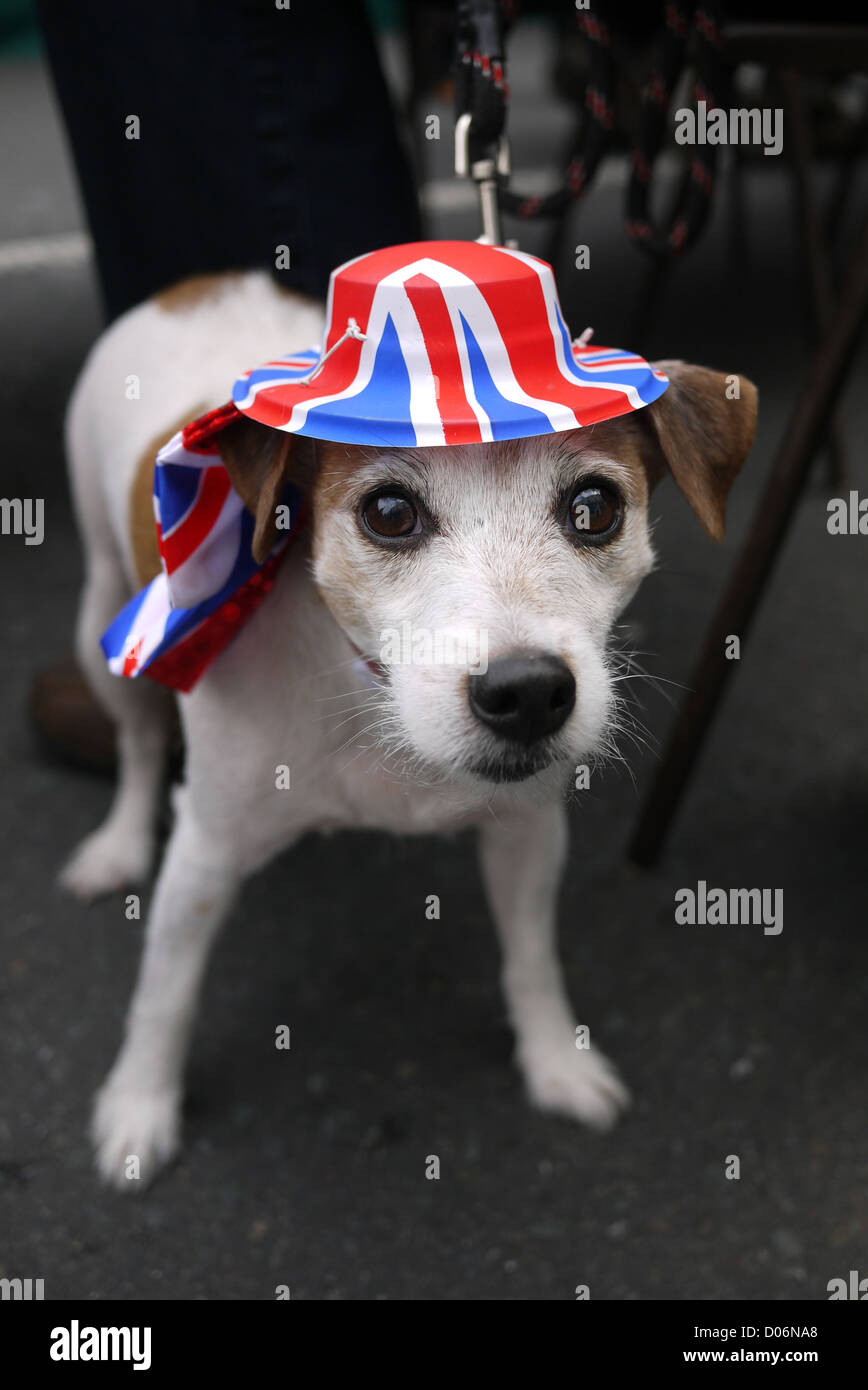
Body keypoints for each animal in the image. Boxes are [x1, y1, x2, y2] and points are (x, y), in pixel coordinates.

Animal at [61, 250, 756, 1184]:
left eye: (595, 506)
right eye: (389, 512)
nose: (528, 693)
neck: (375, 695)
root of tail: (197, 284)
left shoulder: (527, 829)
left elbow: (532, 958)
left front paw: (554, 1060)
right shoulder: (205, 854)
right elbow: (163, 996)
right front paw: (139, 1103)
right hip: (104, 608)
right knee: (137, 743)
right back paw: (120, 842)